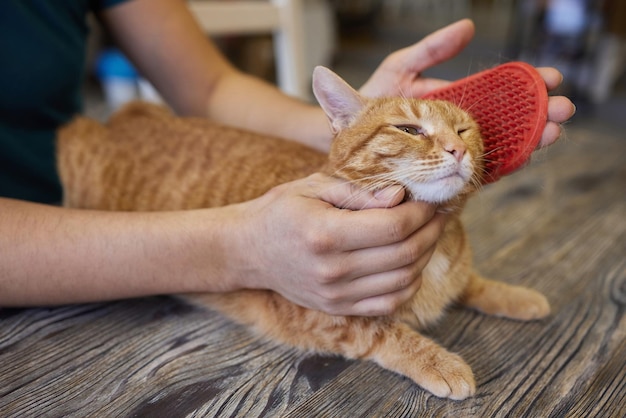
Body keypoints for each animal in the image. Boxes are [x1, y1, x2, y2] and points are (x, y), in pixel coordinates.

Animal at [57, 67, 544, 400]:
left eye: (464, 129)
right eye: (409, 129)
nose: (457, 148)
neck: (436, 247)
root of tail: (118, 121)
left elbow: (472, 282)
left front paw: (519, 296)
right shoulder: (314, 310)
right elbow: (382, 331)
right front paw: (440, 362)